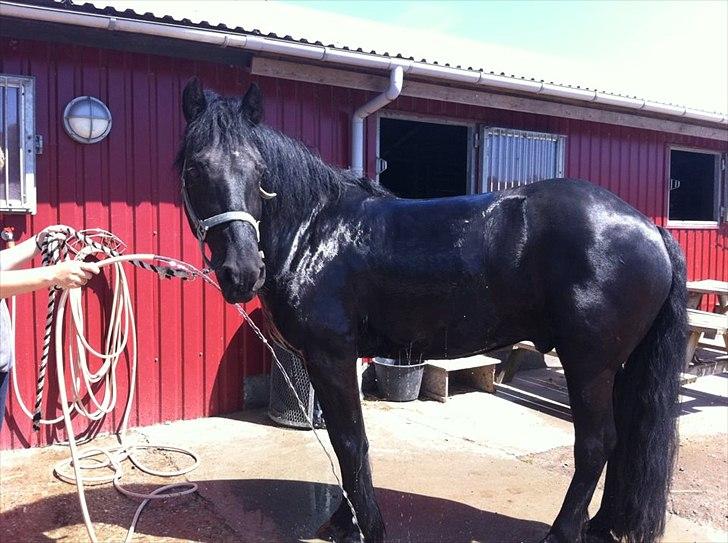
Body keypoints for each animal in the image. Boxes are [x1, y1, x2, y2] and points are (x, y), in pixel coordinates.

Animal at [176, 78, 687, 543]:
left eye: (258, 169)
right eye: (195, 169)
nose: (242, 271)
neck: (314, 232)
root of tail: (649, 229)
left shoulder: (331, 356)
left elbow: (350, 440)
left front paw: (368, 527)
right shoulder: (331, 360)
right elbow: (347, 442)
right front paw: (344, 521)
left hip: (589, 364)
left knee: (597, 443)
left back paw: (563, 532)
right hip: (615, 365)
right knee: (623, 440)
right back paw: (601, 525)